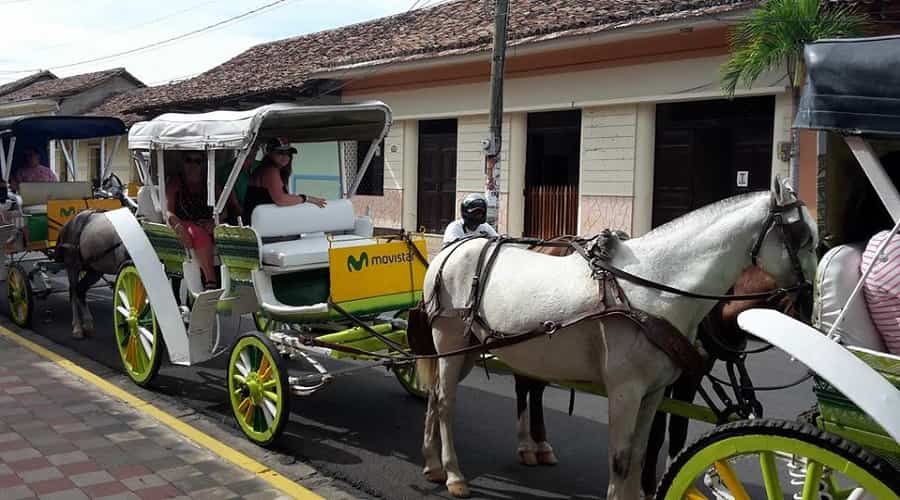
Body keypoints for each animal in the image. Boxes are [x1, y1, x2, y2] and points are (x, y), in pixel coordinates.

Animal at [55, 209, 129, 338]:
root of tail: (68, 223)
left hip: (94, 270)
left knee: (80, 289)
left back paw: (88, 324)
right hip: (72, 265)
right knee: (74, 291)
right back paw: (77, 327)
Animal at [418, 178, 820, 498]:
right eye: (801, 235)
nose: (810, 299)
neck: (655, 286)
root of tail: (450, 253)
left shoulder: (656, 390)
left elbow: (643, 450)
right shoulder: (626, 390)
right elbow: (623, 458)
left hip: (472, 349)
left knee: (436, 396)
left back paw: (433, 464)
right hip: (451, 345)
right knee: (447, 403)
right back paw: (454, 474)